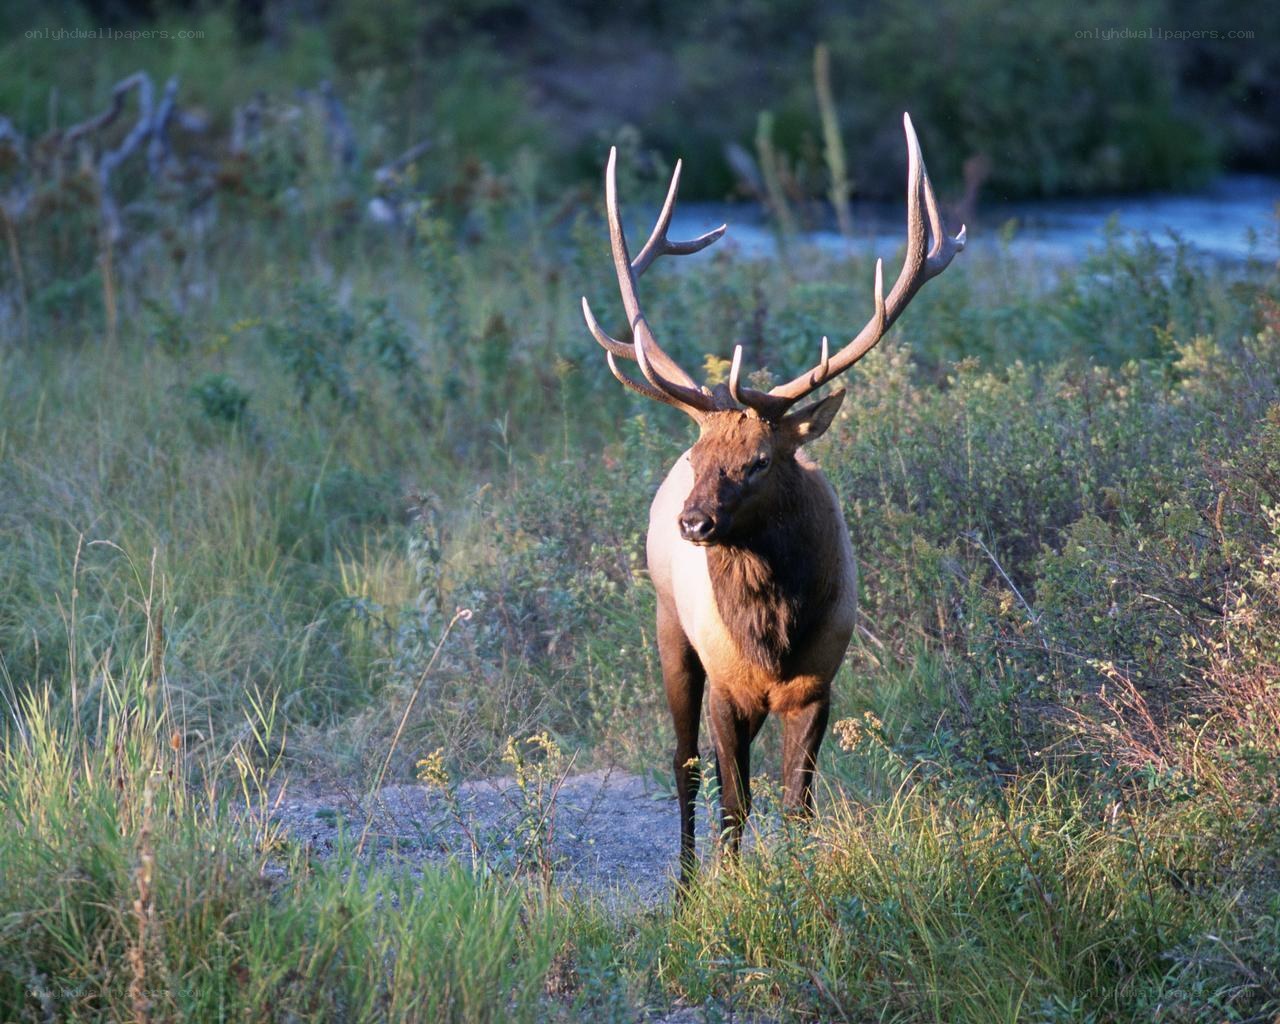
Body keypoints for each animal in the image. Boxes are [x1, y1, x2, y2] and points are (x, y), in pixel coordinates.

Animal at [580, 114, 965, 887]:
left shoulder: (818, 683)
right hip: (668, 623)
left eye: (759, 460)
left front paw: (798, 882)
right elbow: (734, 801)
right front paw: (727, 893)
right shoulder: (728, 685)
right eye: (699, 458)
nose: (693, 521)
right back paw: (686, 883)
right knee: (684, 763)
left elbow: (797, 805)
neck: (773, 636)